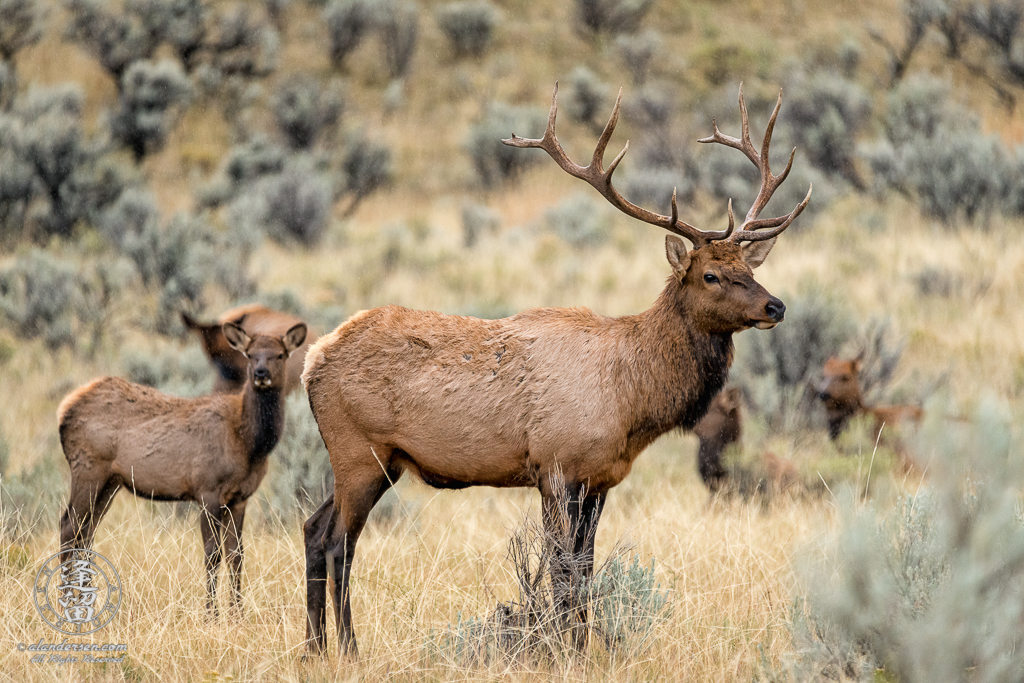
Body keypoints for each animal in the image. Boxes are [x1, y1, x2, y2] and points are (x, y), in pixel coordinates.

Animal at [58, 321, 305, 614]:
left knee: (86, 532)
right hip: (87, 467)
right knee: (69, 526)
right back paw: (67, 600)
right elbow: (212, 554)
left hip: (111, 482)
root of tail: (64, 410)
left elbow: (237, 554)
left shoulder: (240, 497)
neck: (247, 443)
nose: (260, 373)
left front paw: (237, 613)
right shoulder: (207, 489)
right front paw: (211, 614)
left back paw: (86, 599)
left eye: (280, 354)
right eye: (250, 354)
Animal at [299, 82, 811, 659]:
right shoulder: (555, 466)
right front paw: (567, 647)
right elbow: (563, 570)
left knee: (313, 528)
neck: (631, 399)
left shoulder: (600, 478)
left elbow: (585, 568)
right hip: (360, 451)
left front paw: (583, 644)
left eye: (749, 267)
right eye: (710, 275)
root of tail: (313, 359)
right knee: (338, 542)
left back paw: (314, 647)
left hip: (370, 460)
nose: (775, 307)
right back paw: (347, 648)